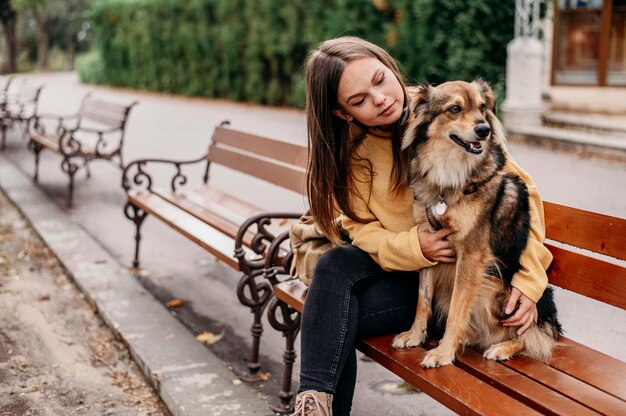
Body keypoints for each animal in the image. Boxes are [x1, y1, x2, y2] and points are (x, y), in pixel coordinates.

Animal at [390, 79, 560, 368]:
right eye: (455, 108)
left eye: (482, 108)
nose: (484, 130)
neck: (449, 175)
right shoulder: (428, 242)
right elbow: (423, 299)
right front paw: (415, 335)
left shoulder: (471, 254)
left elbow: (458, 308)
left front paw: (443, 352)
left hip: (505, 291)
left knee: (534, 336)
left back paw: (502, 347)